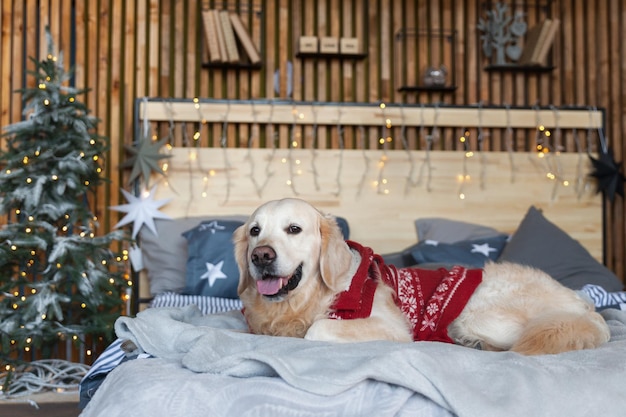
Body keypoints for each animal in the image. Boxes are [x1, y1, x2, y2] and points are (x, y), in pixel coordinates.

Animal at [232, 198, 608, 354]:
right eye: (254, 231)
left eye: (294, 229)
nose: (261, 256)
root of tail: (586, 307)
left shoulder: (391, 328)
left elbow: (318, 329)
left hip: (478, 312)